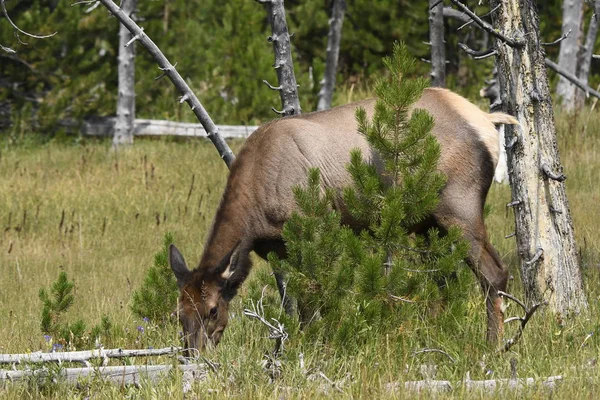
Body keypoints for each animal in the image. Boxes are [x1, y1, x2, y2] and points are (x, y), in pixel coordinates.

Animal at [169, 86, 516, 350]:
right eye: (178, 312)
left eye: (213, 309)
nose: (192, 355)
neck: (255, 215)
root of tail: (487, 122)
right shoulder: (279, 249)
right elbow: (296, 301)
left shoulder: (316, 229)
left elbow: (313, 301)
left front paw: (312, 348)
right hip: (429, 224)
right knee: (444, 281)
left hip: (459, 208)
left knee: (494, 274)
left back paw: (493, 347)